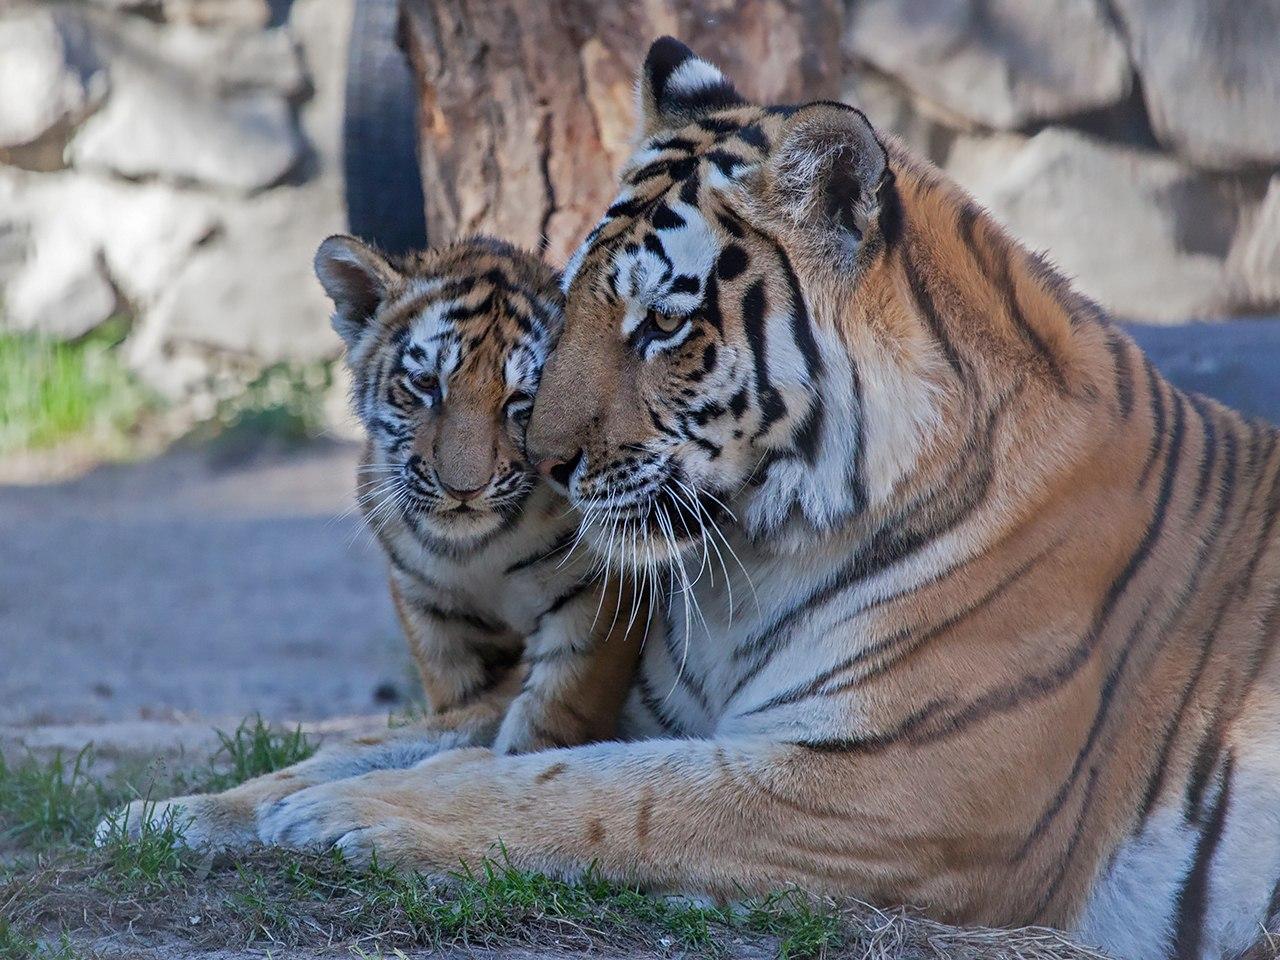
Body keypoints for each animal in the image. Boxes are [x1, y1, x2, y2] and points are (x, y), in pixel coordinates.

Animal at [254, 39, 1274, 960]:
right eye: (576, 297)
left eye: (661, 323)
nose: (543, 462)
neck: (745, 564)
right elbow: (403, 739)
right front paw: (235, 803)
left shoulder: (884, 789)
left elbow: (591, 792)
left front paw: (336, 813)